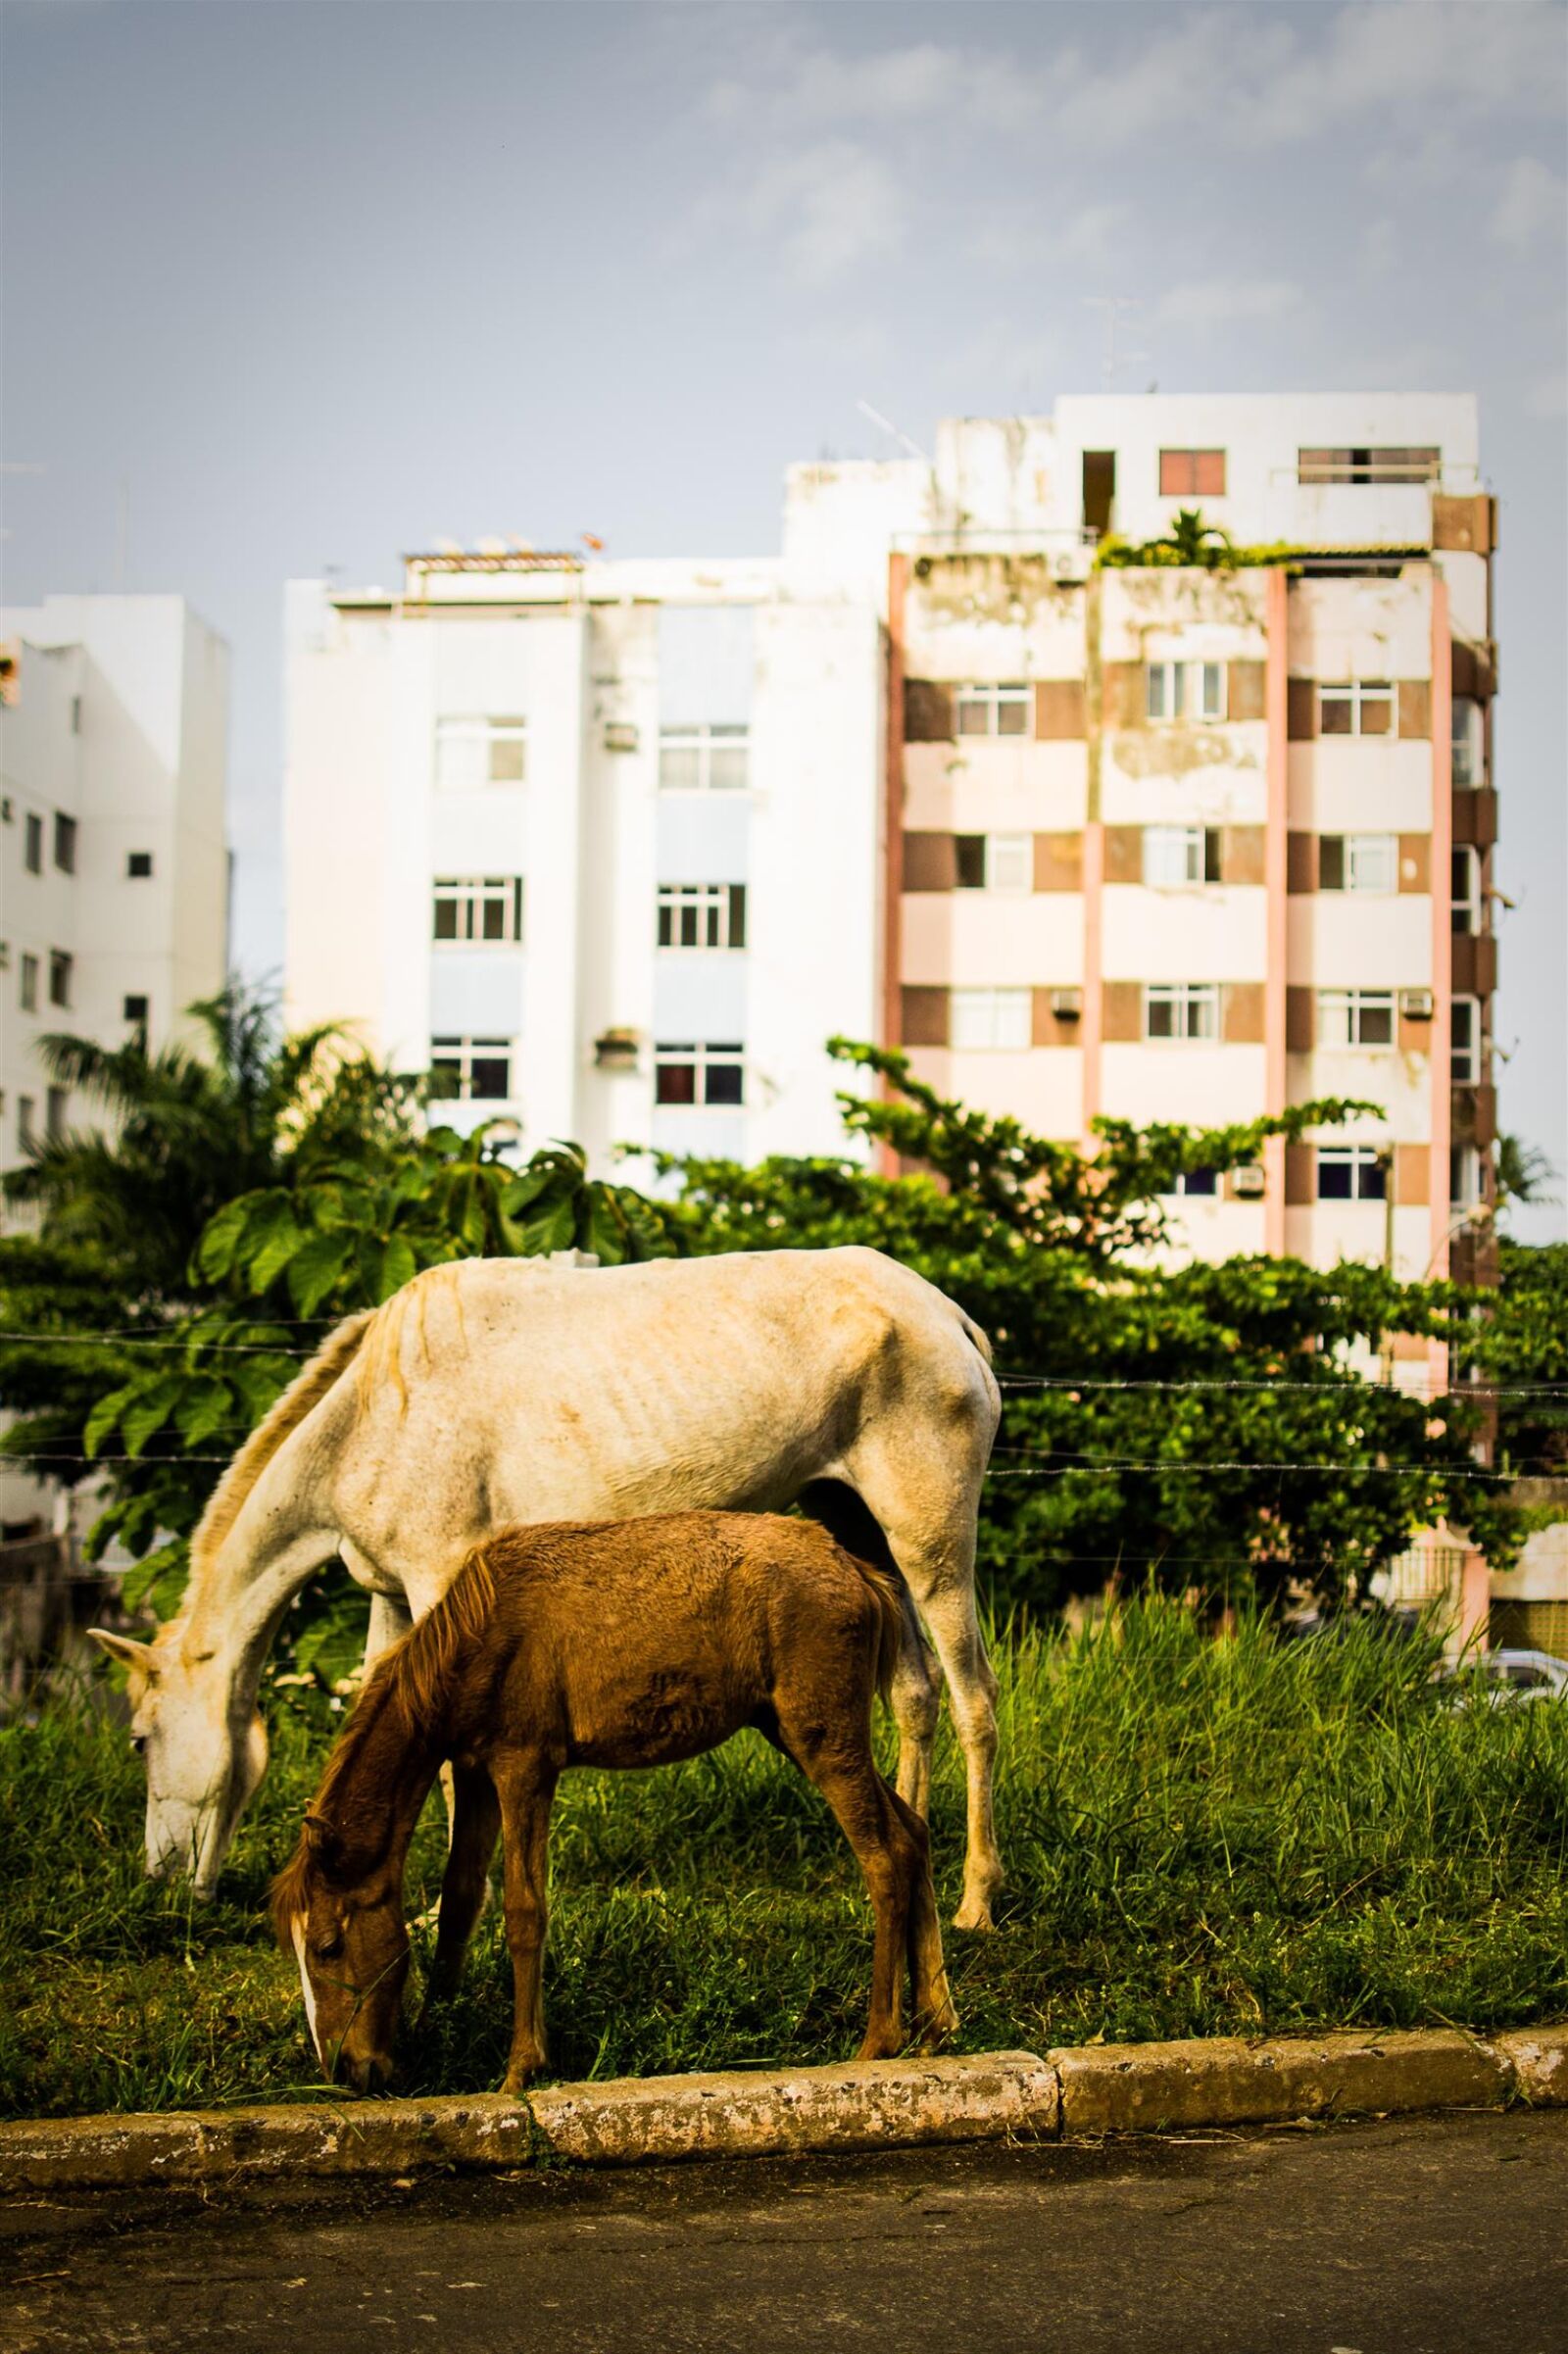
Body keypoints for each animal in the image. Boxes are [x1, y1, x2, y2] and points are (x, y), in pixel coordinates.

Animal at [90, 1246, 1003, 1927]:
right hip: (860, 1528)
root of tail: (951, 1319)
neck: (374, 1412)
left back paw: (972, 1904)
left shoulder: (439, 1578)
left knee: (973, 1699)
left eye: (138, 1738)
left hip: (929, 1538)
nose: (160, 1880)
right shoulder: (388, 1593)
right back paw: (904, 1867)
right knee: (914, 1693)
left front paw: (449, 1911)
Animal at [271, 1512, 959, 2093]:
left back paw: (881, 2037)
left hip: (822, 1734)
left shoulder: (524, 1765)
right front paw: (438, 2027)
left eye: (328, 1945)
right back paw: (934, 2021)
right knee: (912, 1831)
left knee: (883, 1858)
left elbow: (524, 1910)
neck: (477, 1635)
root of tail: (859, 1572)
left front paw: (522, 2065)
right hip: (791, 1731)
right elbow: (461, 1899)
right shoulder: (472, 1771)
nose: (344, 2070)